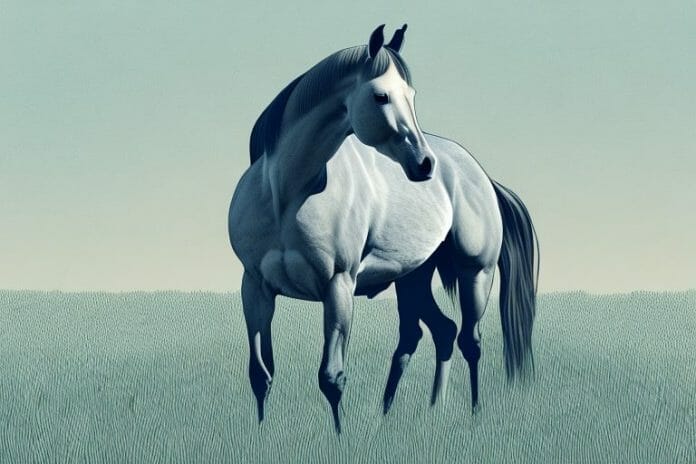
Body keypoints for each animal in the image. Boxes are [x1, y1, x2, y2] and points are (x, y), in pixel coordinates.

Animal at [228, 24, 538, 433]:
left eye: (412, 95)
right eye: (381, 96)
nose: (424, 164)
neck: (287, 194)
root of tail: (481, 176)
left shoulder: (338, 287)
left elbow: (332, 378)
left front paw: (339, 438)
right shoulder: (255, 288)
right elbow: (260, 375)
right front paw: (261, 435)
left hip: (476, 274)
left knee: (469, 342)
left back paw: (470, 415)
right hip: (412, 278)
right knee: (433, 334)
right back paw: (418, 412)